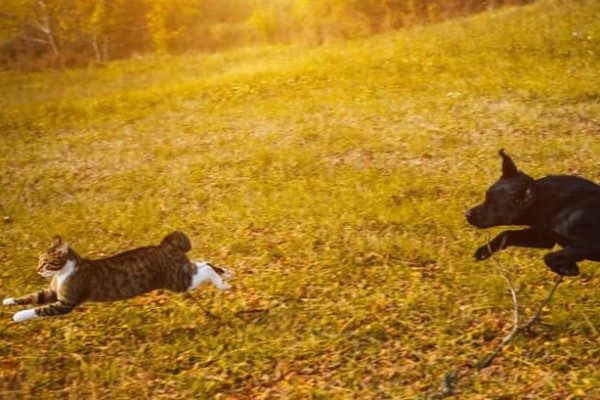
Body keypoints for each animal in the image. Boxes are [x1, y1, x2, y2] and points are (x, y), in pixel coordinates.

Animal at [1, 231, 232, 322]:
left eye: (46, 262)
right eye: (39, 261)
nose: (38, 270)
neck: (61, 274)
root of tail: (165, 245)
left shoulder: (65, 302)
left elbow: (39, 309)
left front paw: (18, 316)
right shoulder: (52, 292)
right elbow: (32, 296)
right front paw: (8, 301)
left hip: (179, 281)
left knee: (205, 269)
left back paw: (222, 284)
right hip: (183, 272)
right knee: (203, 263)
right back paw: (226, 273)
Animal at [466, 148, 600, 276]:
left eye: (492, 204)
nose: (467, 214)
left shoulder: (589, 245)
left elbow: (550, 257)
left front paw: (568, 268)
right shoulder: (544, 237)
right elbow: (507, 234)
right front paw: (484, 251)